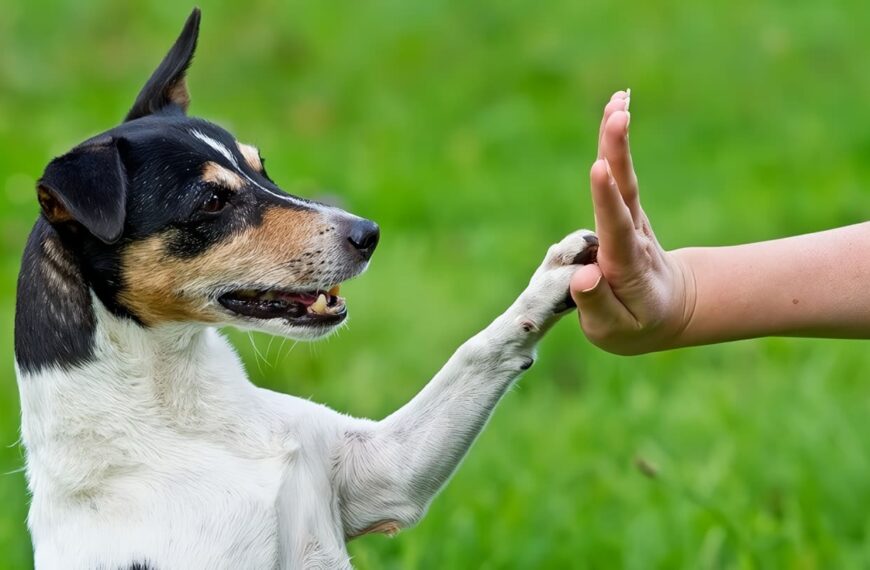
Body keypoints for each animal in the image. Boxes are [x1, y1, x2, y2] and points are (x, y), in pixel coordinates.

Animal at [13, 10, 600, 568]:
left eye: (262, 168)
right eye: (211, 202)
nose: (369, 233)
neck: (184, 414)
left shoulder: (384, 472)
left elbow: (476, 351)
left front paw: (555, 278)